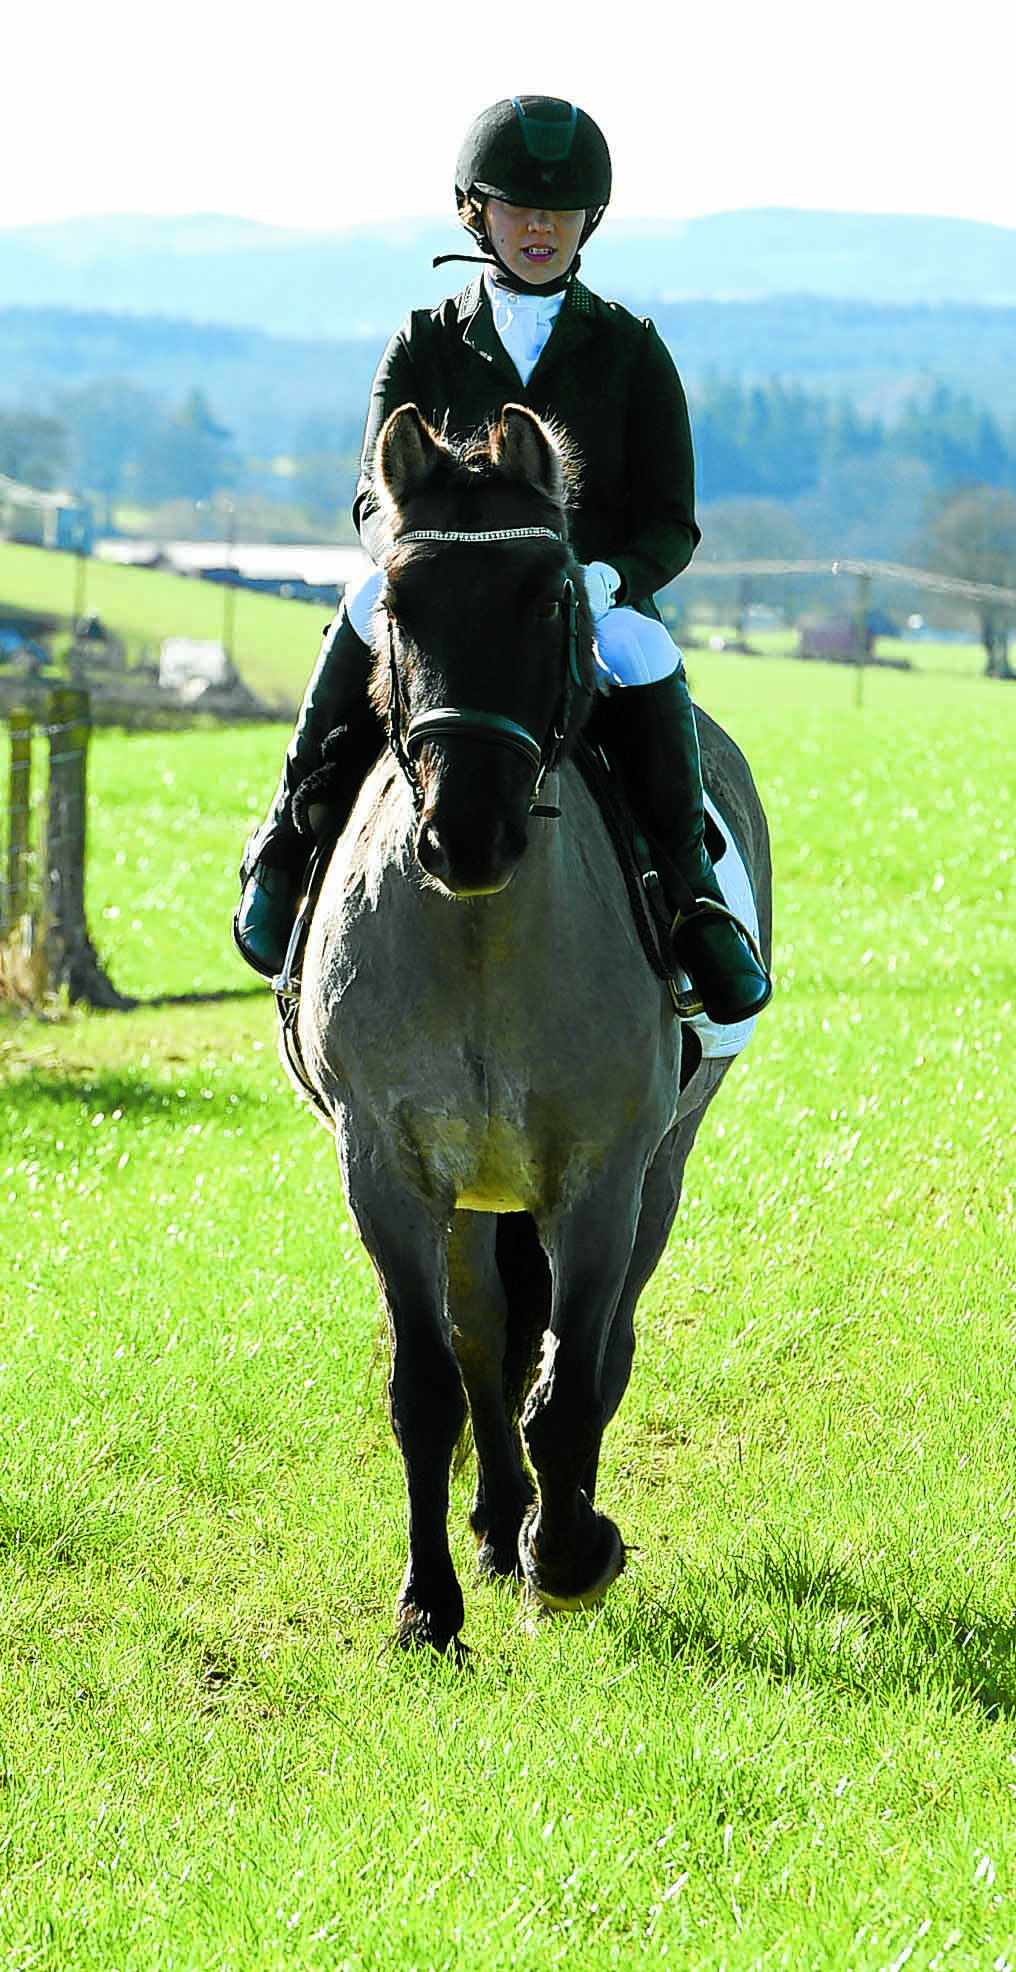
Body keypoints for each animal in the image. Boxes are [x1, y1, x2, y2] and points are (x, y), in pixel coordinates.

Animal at [290, 396, 777, 1648]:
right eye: (398, 608)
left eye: (549, 597)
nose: (465, 834)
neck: (481, 936)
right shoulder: (388, 1168)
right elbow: (429, 1385)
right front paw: (428, 1603)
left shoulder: (598, 1175)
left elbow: (572, 1376)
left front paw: (569, 1555)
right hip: (469, 1193)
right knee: (482, 1337)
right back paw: (491, 1519)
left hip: (661, 1162)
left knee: (598, 1345)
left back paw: (549, 1523)